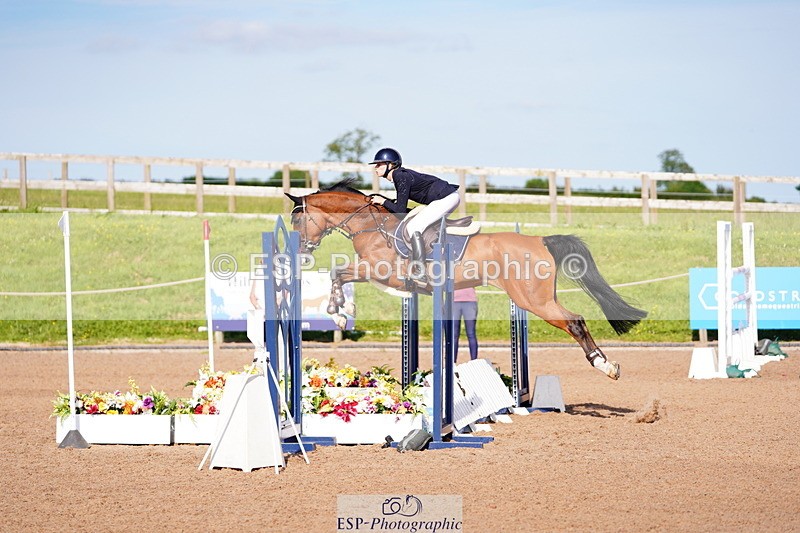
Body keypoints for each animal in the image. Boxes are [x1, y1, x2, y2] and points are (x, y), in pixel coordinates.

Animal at [285, 179, 647, 380]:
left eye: (298, 222)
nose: (302, 252)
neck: (371, 226)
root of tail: (540, 240)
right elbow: (339, 274)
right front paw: (340, 312)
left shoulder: (379, 271)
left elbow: (339, 273)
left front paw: (338, 314)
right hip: (543, 297)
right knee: (577, 320)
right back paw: (607, 365)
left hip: (533, 300)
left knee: (574, 321)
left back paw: (605, 367)